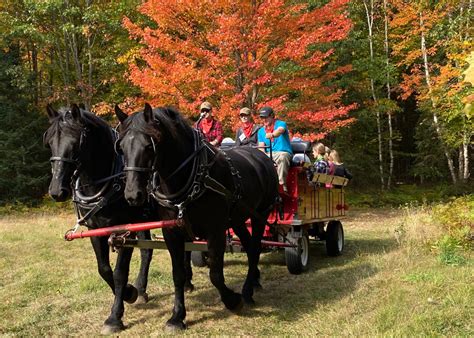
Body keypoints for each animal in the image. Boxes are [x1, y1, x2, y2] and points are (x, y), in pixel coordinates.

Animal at [44, 104, 156, 334]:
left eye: (75, 142)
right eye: (49, 142)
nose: (57, 191)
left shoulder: (124, 231)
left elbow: (120, 272)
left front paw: (115, 317)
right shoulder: (95, 231)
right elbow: (104, 269)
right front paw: (130, 292)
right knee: (147, 251)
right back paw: (141, 290)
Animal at [115, 103, 280, 330]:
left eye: (149, 146)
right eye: (121, 148)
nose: (133, 195)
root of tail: (261, 156)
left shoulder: (215, 230)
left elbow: (216, 274)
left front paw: (232, 301)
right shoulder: (172, 231)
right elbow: (178, 274)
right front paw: (177, 316)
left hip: (260, 215)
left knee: (254, 248)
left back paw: (247, 292)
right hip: (238, 219)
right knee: (248, 247)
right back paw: (254, 280)